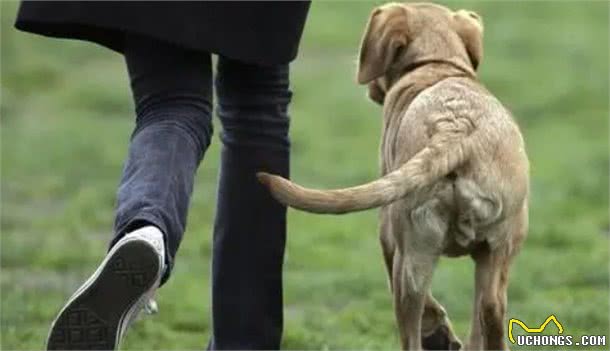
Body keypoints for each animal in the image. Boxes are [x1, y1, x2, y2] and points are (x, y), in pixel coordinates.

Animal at [256, 1, 528, 350]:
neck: (435, 64)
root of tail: (455, 129)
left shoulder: (387, 235)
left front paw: (440, 334)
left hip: (410, 252)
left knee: (414, 324)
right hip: (499, 248)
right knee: (490, 309)